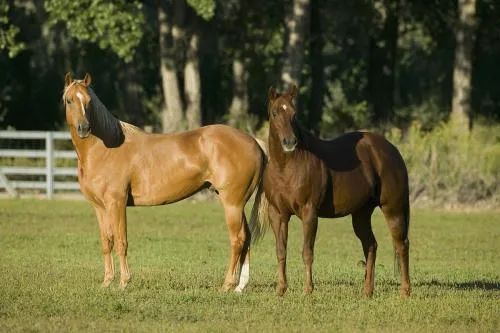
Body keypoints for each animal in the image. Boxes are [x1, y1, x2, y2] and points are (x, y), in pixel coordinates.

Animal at [64, 72, 268, 290]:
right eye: (69, 100)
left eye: (89, 101)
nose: (84, 128)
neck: (105, 148)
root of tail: (254, 142)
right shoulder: (100, 207)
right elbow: (106, 242)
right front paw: (107, 282)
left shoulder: (116, 203)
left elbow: (121, 241)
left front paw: (123, 283)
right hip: (238, 204)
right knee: (246, 237)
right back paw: (240, 286)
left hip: (232, 204)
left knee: (237, 239)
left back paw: (227, 285)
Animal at [250, 85, 410, 296]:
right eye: (275, 113)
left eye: (294, 114)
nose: (290, 142)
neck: (287, 167)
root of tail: (392, 151)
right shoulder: (278, 214)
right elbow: (281, 251)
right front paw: (280, 289)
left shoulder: (309, 213)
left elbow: (307, 252)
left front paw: (307, 290)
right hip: (361, 214)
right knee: (371, 245)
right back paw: (367, 291)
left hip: (393, 209)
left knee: (401, 245)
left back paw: (405, 291)